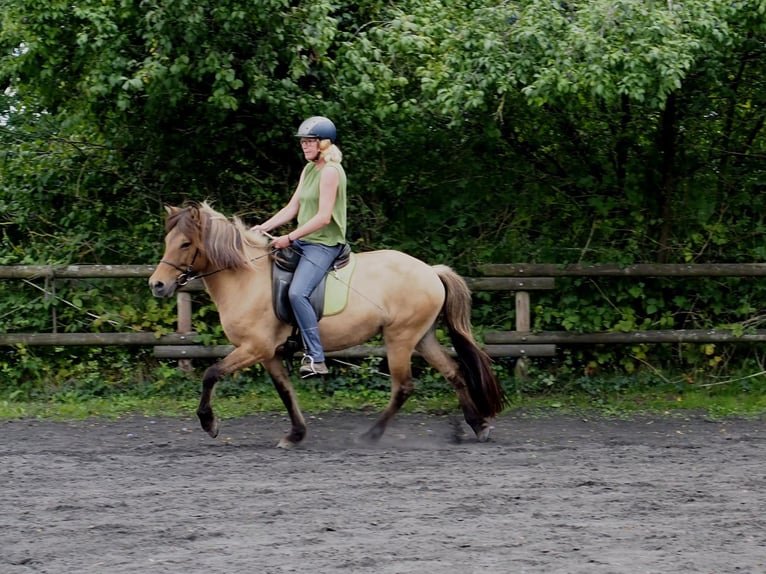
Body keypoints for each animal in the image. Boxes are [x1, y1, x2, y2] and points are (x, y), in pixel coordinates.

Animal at [150, 204, 510, 450]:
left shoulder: (254, 348)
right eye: (167, 240)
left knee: (404, 387)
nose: (157, 285)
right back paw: (477, 426)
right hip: (422, 337)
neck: (246, 279)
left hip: (400, 339)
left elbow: (211, 374)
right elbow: (285, 391)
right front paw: (295, 435)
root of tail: (431, 271)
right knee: (454, 373)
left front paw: (209, 424)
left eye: (185, 244)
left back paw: (370, 435)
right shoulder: (268, 353)